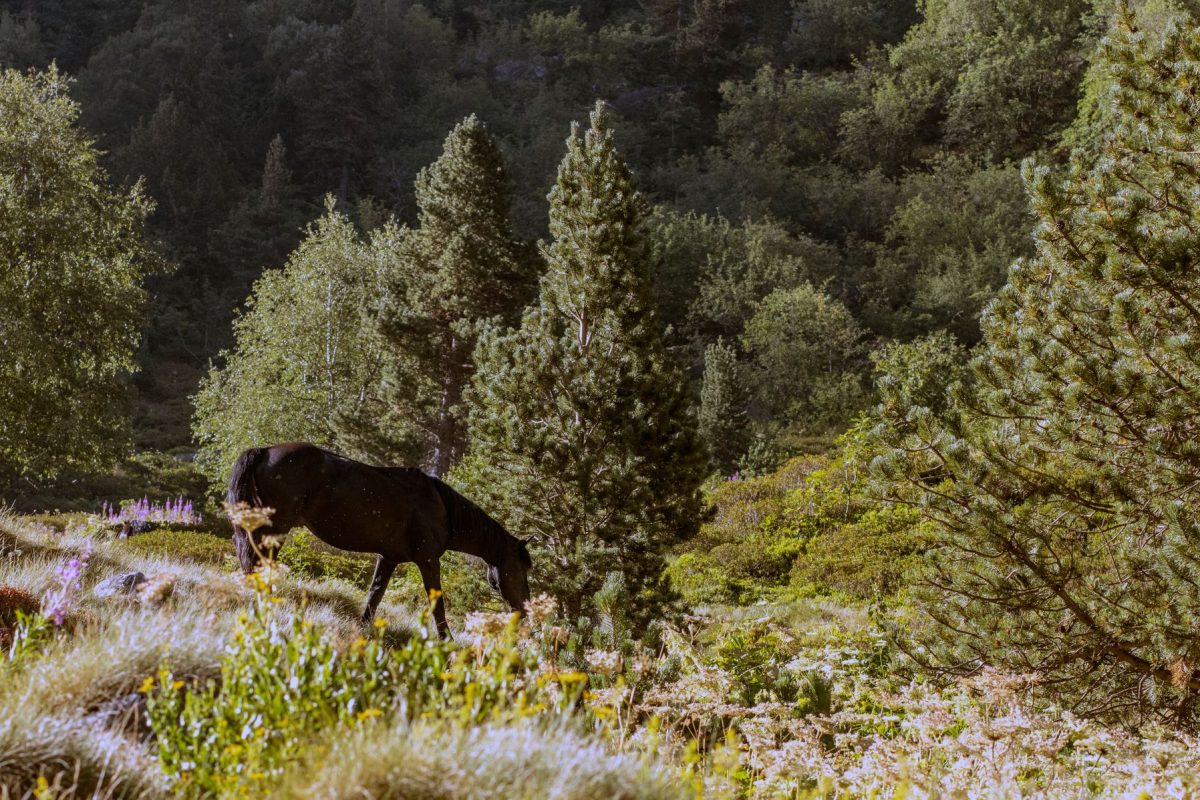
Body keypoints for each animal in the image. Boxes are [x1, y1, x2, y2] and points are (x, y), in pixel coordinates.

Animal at [226, 443, 532, 637]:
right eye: (520, 569)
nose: (525, 610)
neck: (441, 507)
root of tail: (265, 451)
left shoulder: (389, 558)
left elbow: (375, 594)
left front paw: (364, 628)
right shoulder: (428, 560)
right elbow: (437, 602)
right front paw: (446, 640)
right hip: (275, 529)